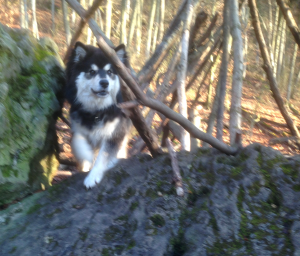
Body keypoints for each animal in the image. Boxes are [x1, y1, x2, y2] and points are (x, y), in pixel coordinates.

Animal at [65, 42, 131, 188]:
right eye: (92, 71)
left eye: (110, 72)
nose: (104, 83)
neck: (96, 111)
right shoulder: (77, 129)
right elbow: (78, 142)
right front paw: (88, 158)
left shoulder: (114, 134)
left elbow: (103, 156)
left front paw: (93, 176)